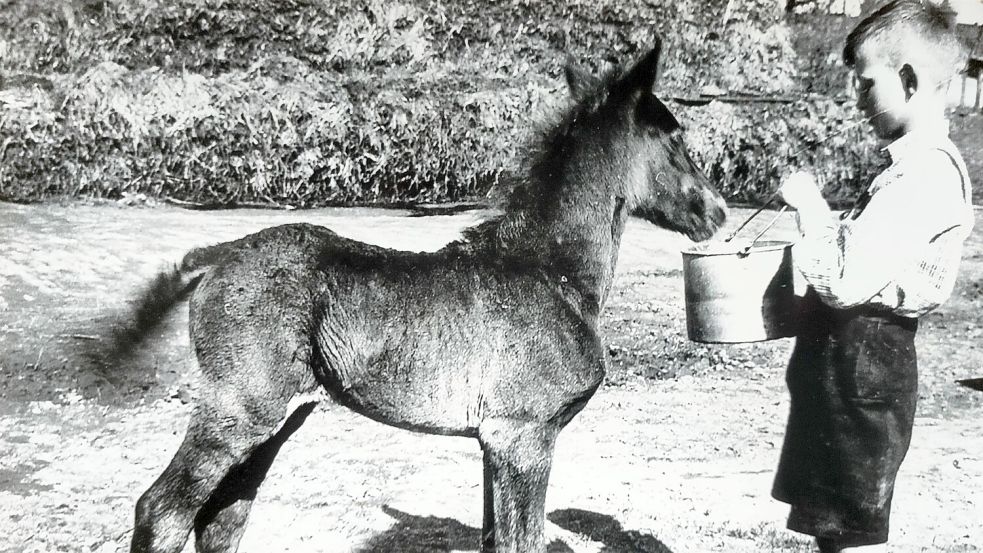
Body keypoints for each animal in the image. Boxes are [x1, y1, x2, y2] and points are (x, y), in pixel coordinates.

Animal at [127, 40, 728, 552]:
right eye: (676, 140)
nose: (718, 213)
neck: (547, 269)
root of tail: (221, 253)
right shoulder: (525, 437)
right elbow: (523, 540)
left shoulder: (495, 445)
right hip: (238, 411)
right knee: (164, 510)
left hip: (276, 421)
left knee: (223, 516)